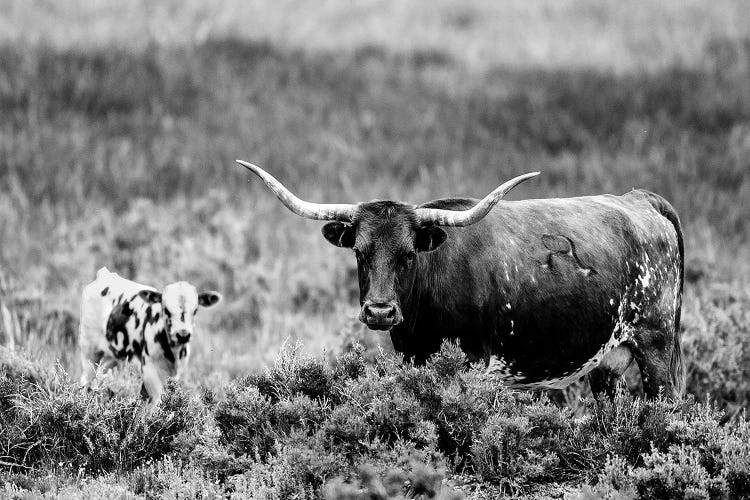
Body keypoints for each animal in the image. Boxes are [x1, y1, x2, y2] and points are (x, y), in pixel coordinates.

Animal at [79, 268, 222, 400]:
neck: (173, 353)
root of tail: (105, 274)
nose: (183, 335)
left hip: (111, 357)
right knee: (86, 382)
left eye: (195, 310)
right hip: (90, 352)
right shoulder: (149, 370)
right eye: (166, 310)